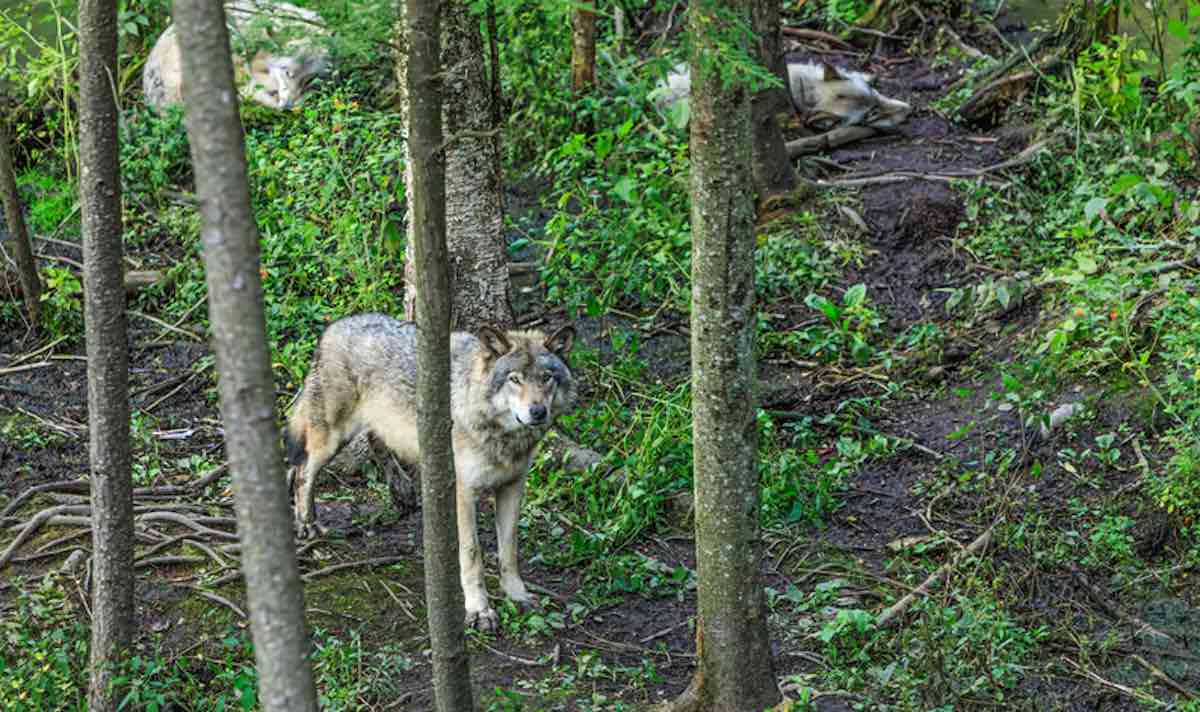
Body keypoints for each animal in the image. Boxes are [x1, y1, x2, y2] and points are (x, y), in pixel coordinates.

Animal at [285, 312, 576, 629]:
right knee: (302, 470)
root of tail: (335, 327)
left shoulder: (512, 486)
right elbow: (472, 556)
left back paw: (402, 493)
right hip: (332, 438)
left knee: (375, 443)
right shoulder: (464, 492)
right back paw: (307, 524)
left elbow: (509, 551)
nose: (538, 412)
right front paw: (479, 610)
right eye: (515, 379)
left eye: (546, 378)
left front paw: (517, 594)